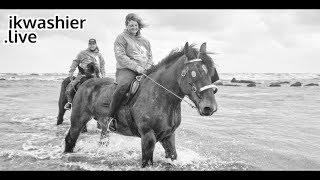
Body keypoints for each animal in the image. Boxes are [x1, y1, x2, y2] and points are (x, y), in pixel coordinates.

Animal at [63, 42, 219, 167]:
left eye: (210, 73)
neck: (160, 95)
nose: (209, 107)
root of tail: (86, 82)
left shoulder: (168, 136)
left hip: (103, 126)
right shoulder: (148, 136)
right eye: (194, 73)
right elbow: (147, 161)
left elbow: (173, 156)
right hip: (78, 120)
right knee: (70, 139)